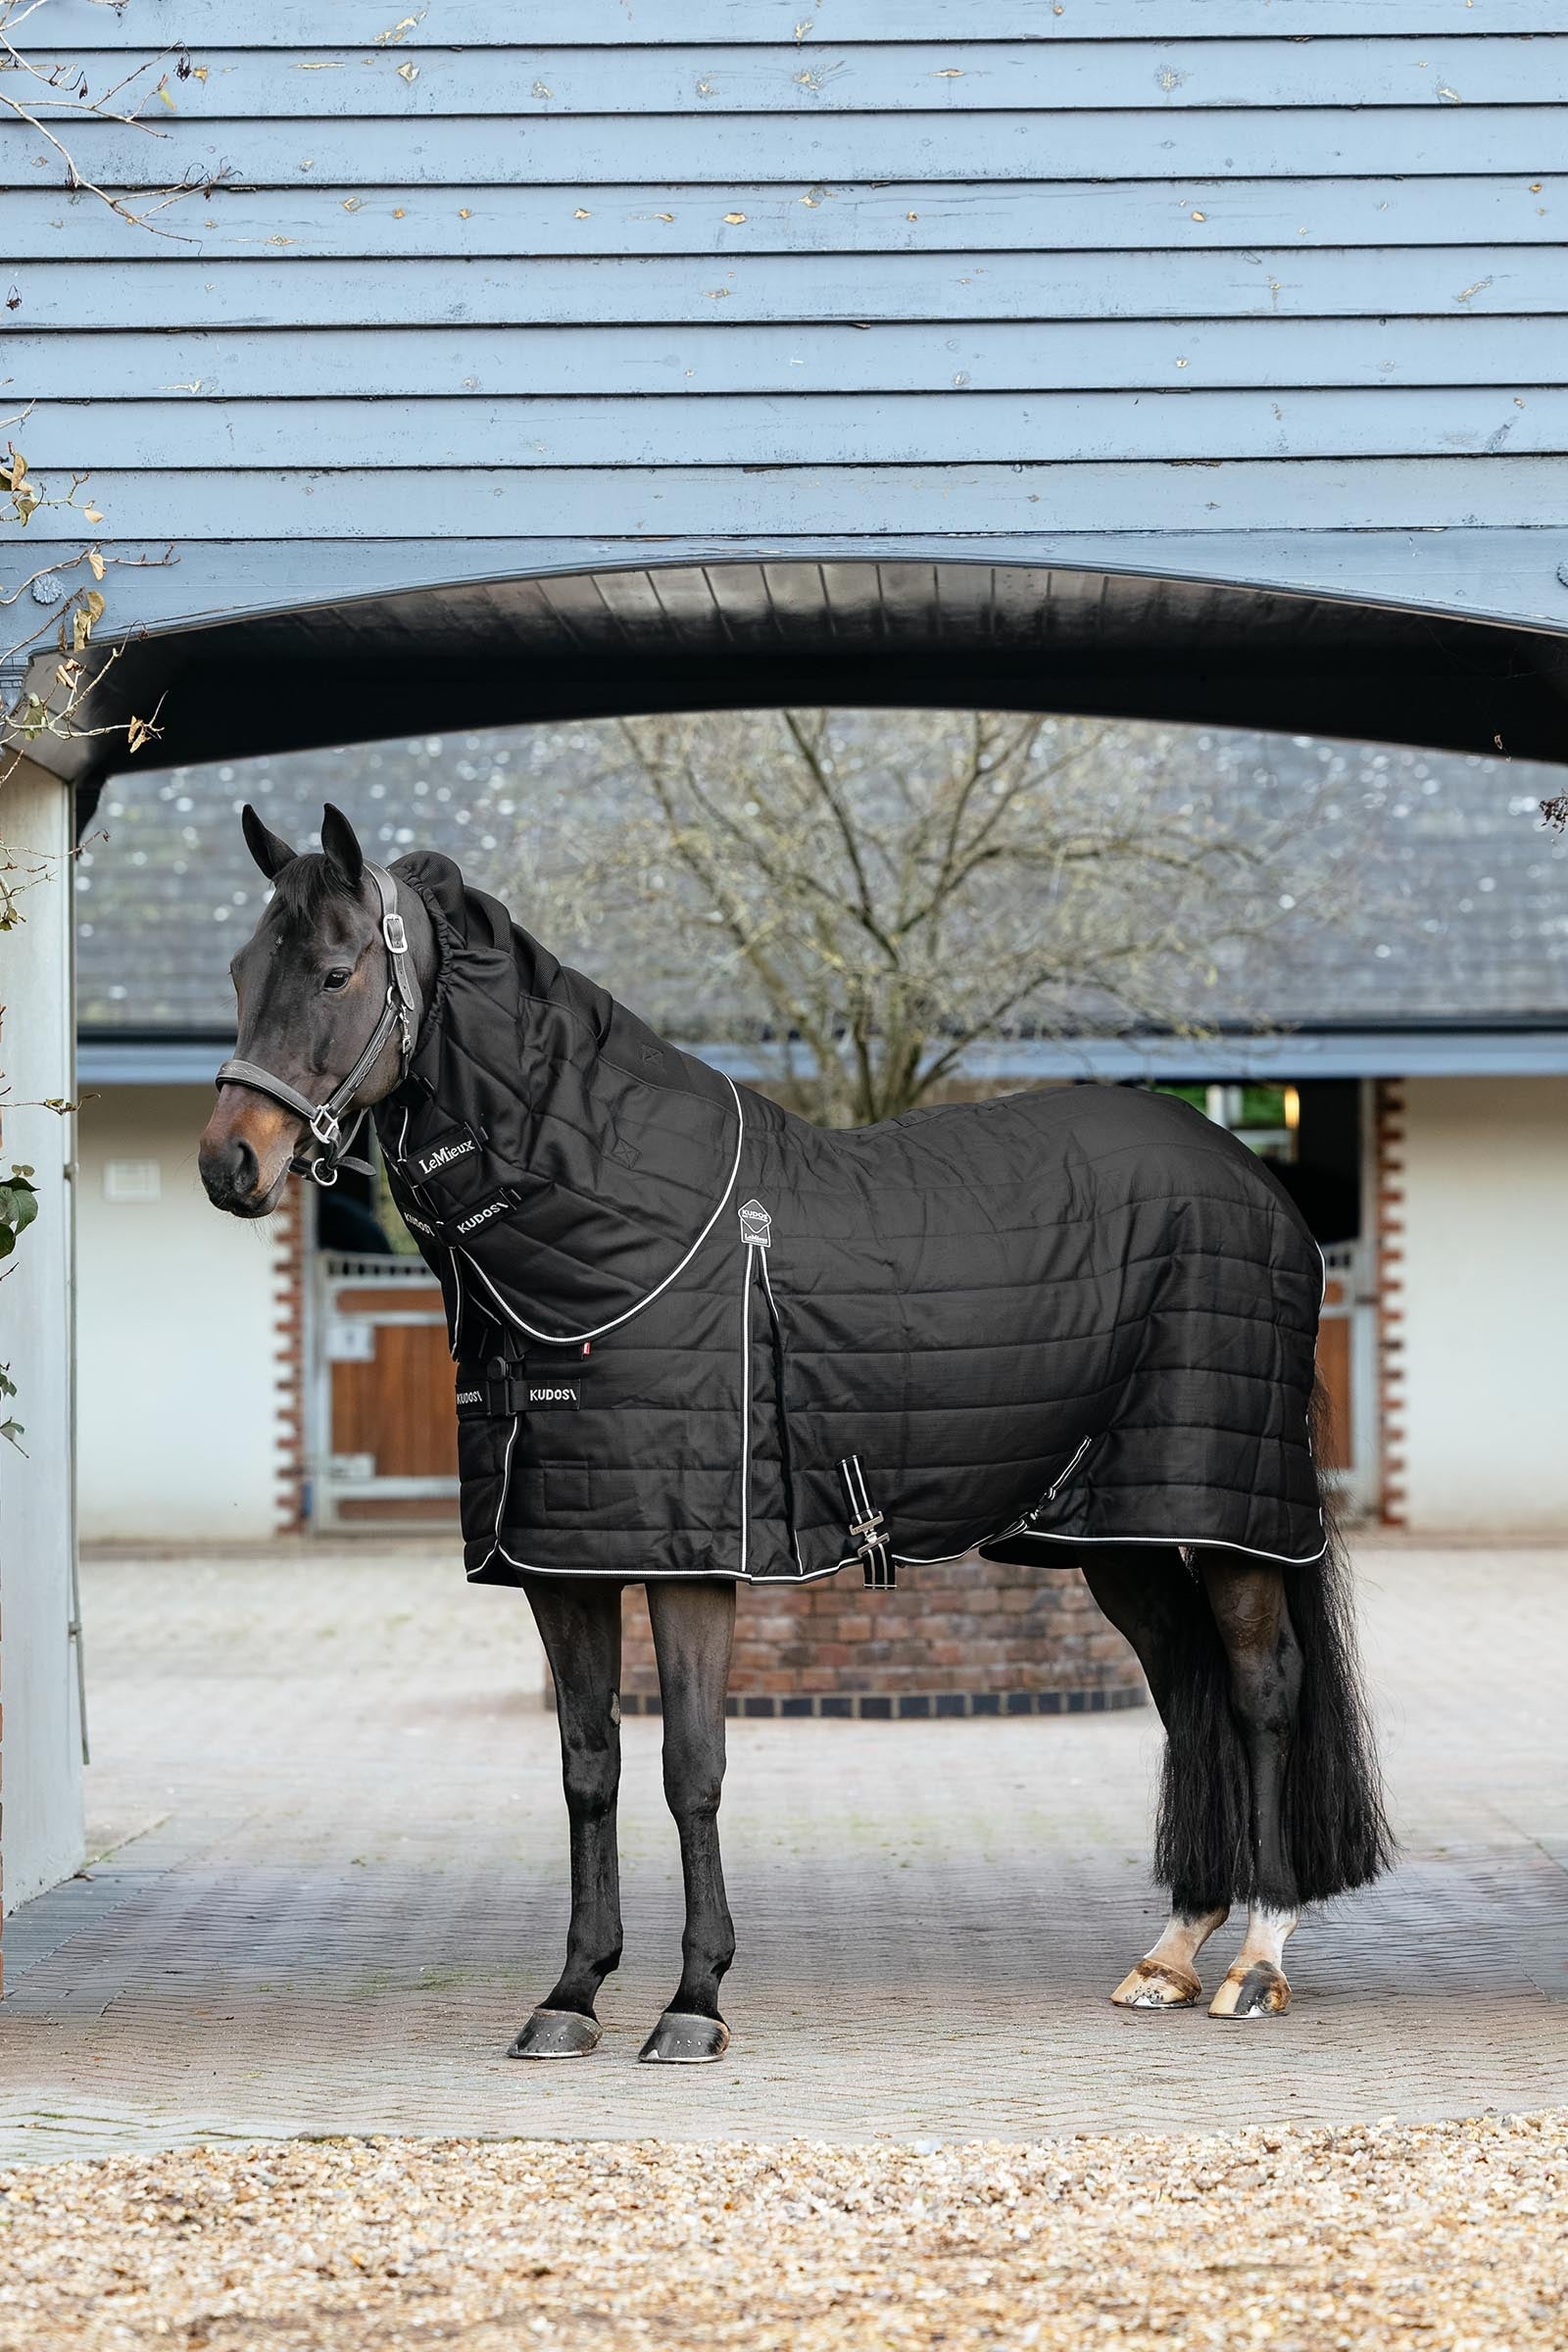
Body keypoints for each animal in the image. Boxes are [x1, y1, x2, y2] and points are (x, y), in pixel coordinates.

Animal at [200, 801, 1391, 2065]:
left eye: (335, 972)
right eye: (239, 973)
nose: (230, 1162)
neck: (615, 1224)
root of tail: (1255, 1185)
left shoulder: (692, 1562)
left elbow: (690, 1767)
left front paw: (694, 2001)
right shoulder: (564, 1562)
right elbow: (588, 1769)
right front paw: (571, 1994)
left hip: (1224, 1515)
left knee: (1262, 1690)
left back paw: (1256, 1959)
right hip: (1107, 1532)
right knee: (1185, 1687)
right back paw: (1171, 1952)